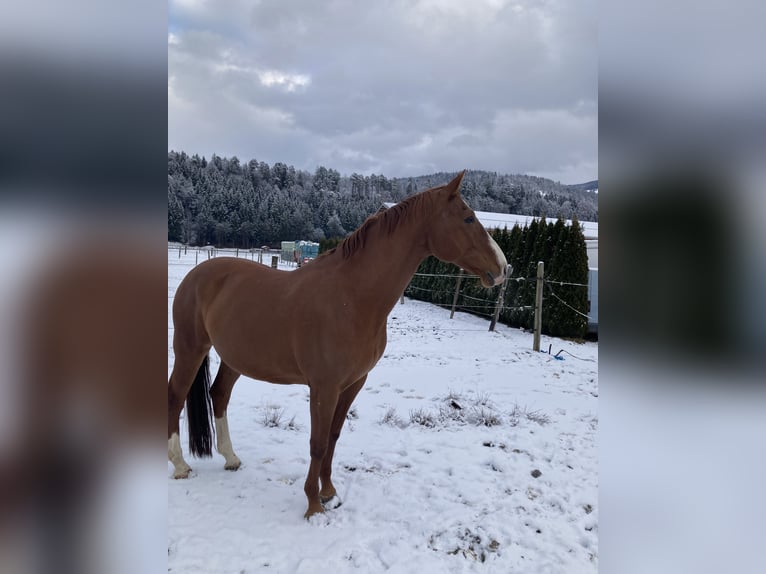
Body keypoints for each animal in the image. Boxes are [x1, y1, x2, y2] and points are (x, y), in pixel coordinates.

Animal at [171, 171, 512, 516]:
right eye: (468, 218)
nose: (503, 268)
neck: (351, 298)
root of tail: (197, 275)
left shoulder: (353, 383)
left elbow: (333, 437)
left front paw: (329, 492)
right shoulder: (324, 387)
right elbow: (318, 443)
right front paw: (313, 505)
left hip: (235, 358)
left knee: (219, 395)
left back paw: (231, 458)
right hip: (190, 349)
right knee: (176, 394)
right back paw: (180, 465)